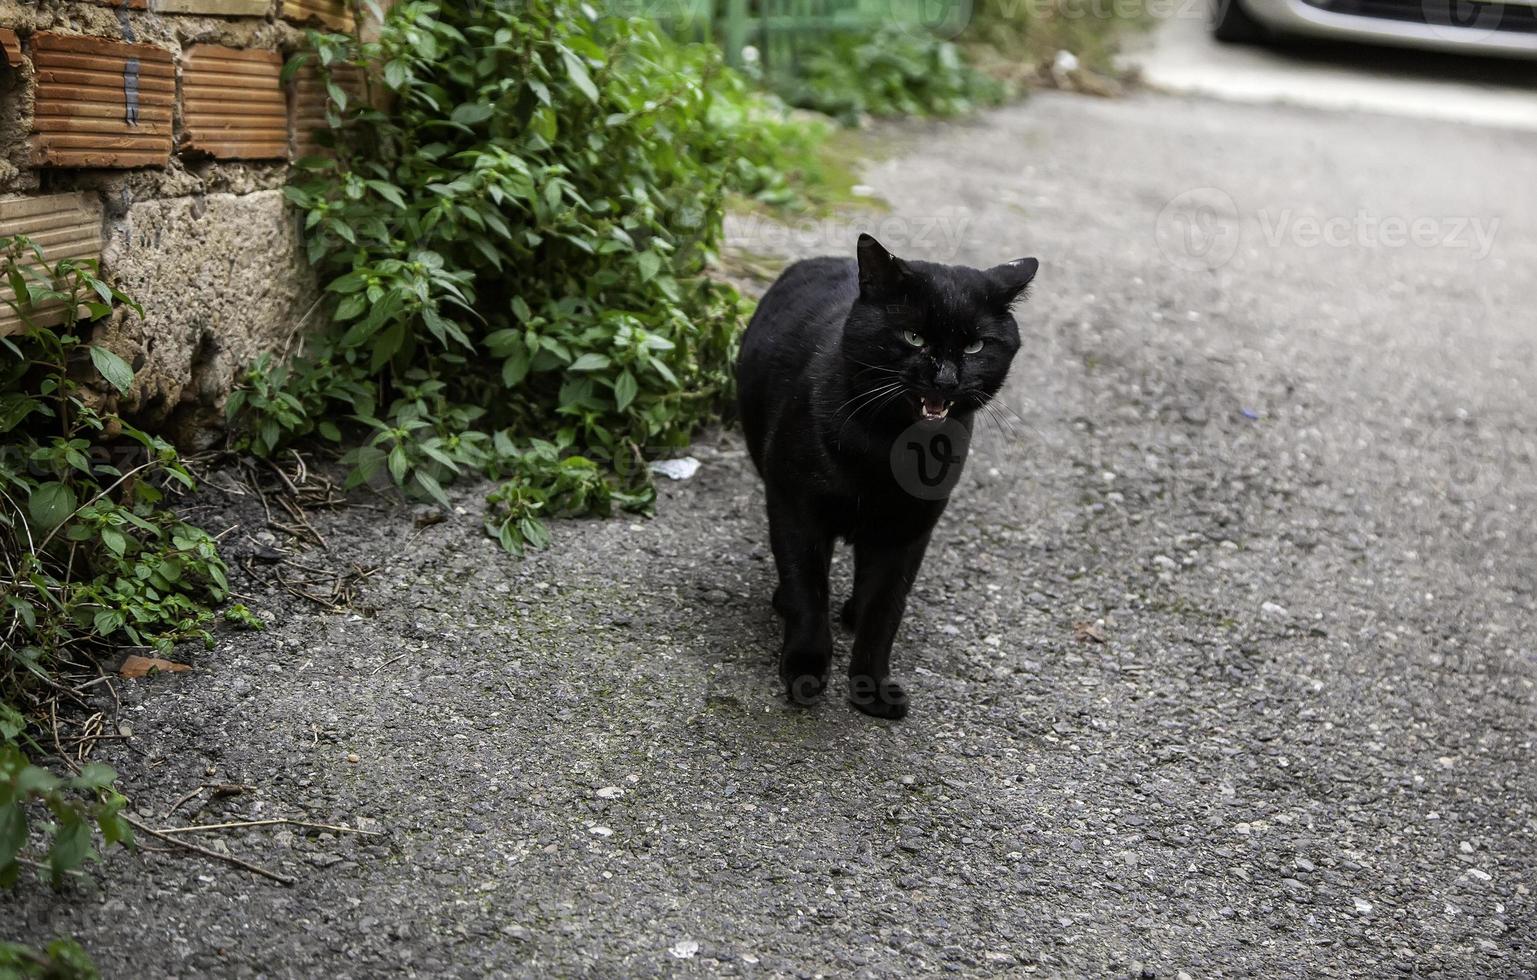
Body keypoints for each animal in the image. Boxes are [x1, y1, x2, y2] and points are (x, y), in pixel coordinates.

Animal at [737, 233, 1039, 718]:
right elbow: (807, 589)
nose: (946, 378)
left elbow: (885, 613)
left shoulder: (909, 531)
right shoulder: (794, 504)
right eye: (914, 337)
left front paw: (871, 688)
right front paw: (805, 669)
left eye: (975, 346)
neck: (886, 449)